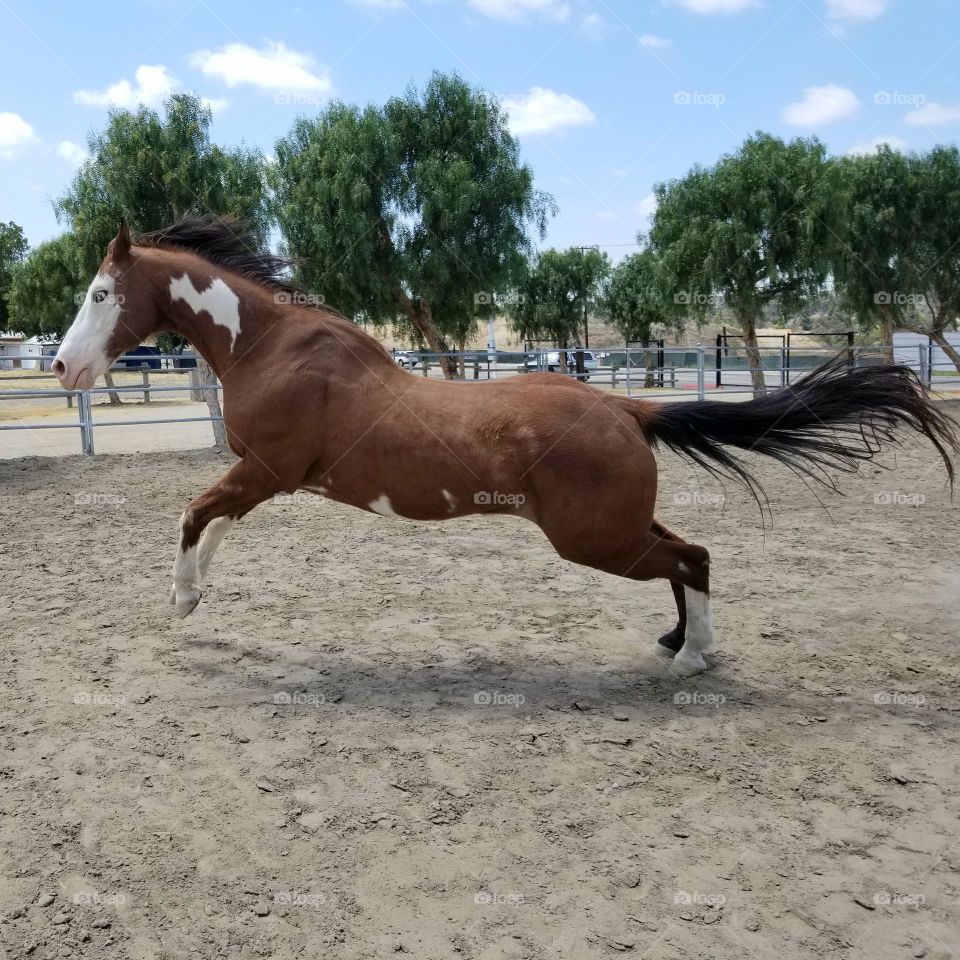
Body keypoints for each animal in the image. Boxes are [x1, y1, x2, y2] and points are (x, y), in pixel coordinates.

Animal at [52, 218, 959, 677]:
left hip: (594, 538)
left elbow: (194, 513)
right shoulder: (263, 478)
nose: (63, 367)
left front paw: (181, 601)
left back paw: (694, 660)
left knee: (693, 556)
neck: (270, 347)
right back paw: (676, 643)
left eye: (100, 293)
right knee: (686, 555)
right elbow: (215, 524)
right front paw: (194, 598)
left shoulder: (268, 470)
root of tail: (628, 410)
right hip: (612, 529)